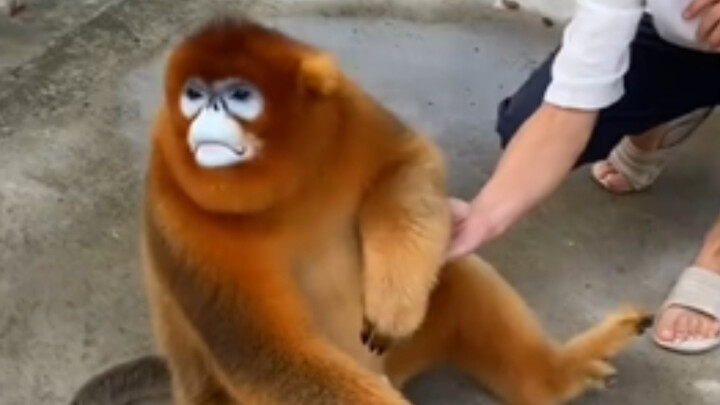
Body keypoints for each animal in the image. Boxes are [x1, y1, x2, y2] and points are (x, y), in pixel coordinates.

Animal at [123, 15, 653, 405]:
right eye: (193, 94)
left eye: (238, 95)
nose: (207, 113)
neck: (280, 191)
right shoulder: (176, 214)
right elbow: (270, 356)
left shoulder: (349, 112)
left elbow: (408, 163)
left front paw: (393, 306)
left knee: (458, 271)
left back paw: (553, 376)